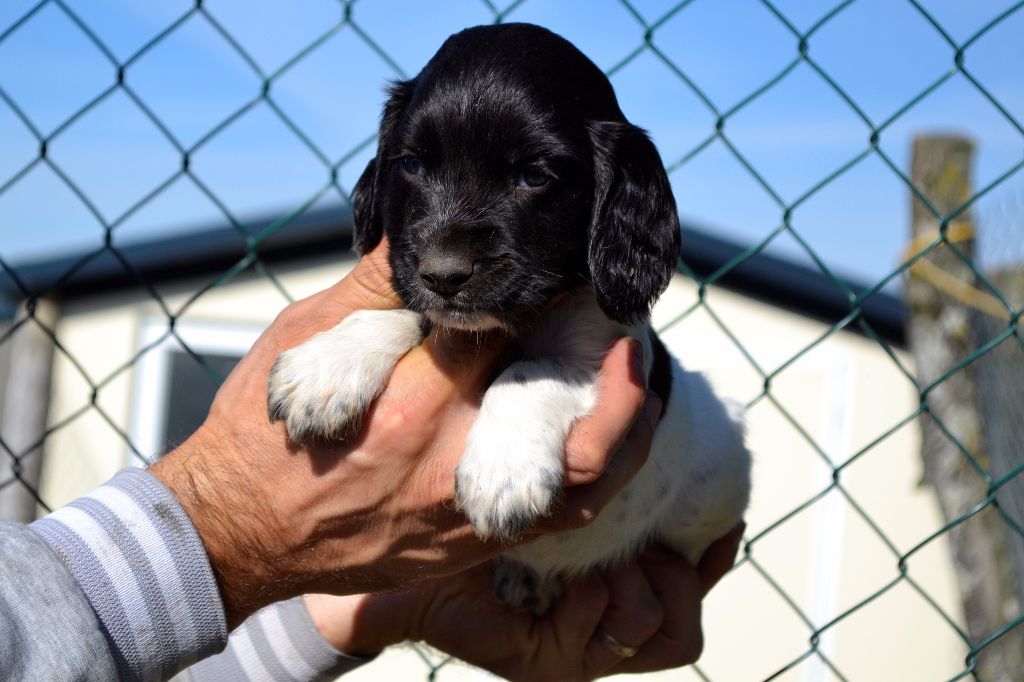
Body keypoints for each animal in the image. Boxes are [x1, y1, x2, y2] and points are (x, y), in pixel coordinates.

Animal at [268, 23, 750, 614]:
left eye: (535, 175)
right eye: (412, 164)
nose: (442, 274)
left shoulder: (604, 345)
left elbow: (530, 369)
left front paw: (503, 470)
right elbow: (407, 314)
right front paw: (328, 366)